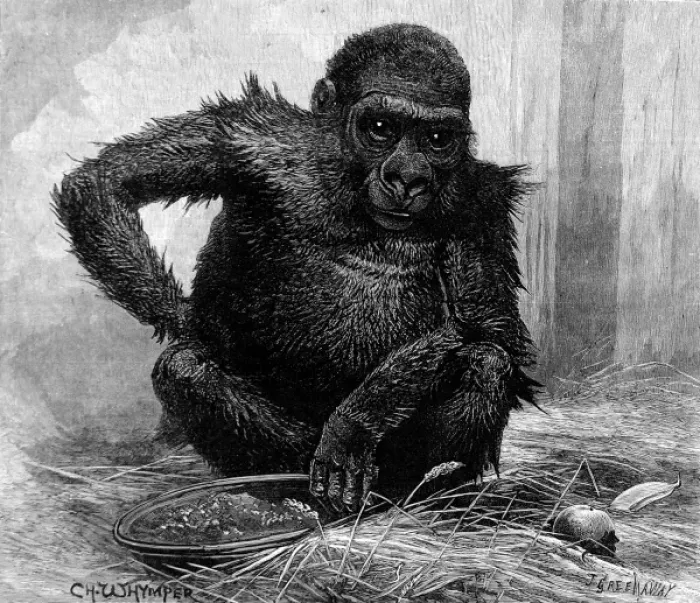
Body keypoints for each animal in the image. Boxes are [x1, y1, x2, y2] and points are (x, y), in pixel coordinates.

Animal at [53, 23, 539, 513]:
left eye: (437, 139)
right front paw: (198, 324)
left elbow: (487, 325)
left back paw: (410, 487)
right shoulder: (249, 139)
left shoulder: (481, 202)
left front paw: (356, 420)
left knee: (487, 365)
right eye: (381, 128)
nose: (408, 177)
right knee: (186, 369)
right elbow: (108, 182)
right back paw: (286, 487)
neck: (348, 185)